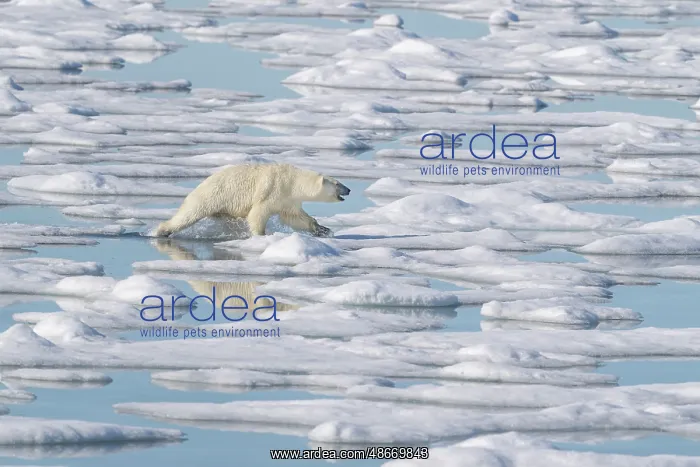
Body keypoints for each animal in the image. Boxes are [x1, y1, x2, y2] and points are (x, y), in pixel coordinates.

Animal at [153, 163, 350, 238]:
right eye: (337, 183)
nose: (349, 189)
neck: (292, 181)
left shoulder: (288, 200)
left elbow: (295, 217)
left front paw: (322, 229)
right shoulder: (273, 189)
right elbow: (258, 213)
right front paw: (261, 235)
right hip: (212, 195)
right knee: (189, 214)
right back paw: (161, 231)